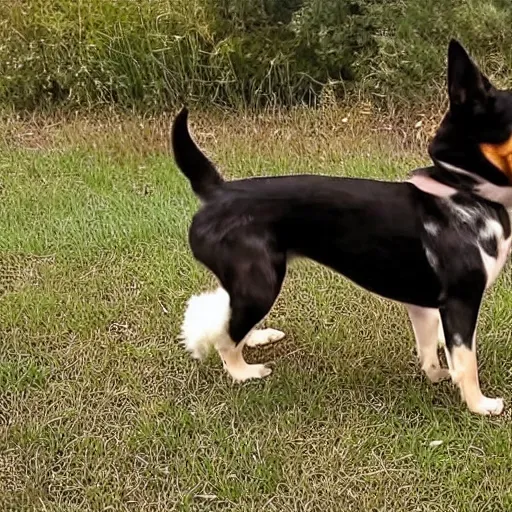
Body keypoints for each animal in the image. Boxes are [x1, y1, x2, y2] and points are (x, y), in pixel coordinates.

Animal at [173, 40, 512, 416]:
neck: (462, 189)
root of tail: (216, 192)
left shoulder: (425, 306)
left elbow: (429, 350)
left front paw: (436, 375)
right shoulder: (461, 300)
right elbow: (466, 362)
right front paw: (480, 405)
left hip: (249, 282)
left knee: (227, 318)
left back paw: (257, 337)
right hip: (260, 283)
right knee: (225, 337)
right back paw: (243, 372)